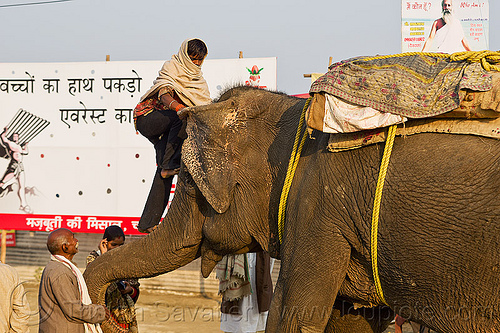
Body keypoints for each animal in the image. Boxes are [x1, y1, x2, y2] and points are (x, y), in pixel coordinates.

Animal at [85, 86, 500, 332]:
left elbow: (293, 312)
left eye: (187, 182)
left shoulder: (317, 203)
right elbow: (349, 319)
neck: (294, 111)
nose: (104, 313)